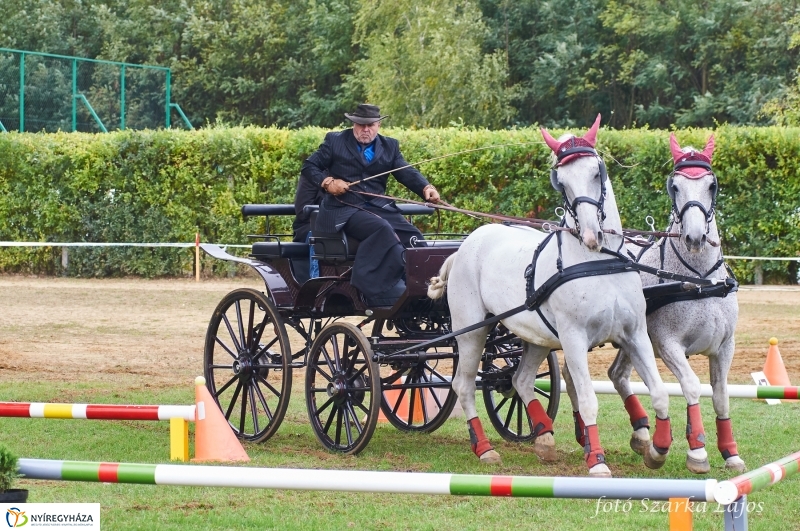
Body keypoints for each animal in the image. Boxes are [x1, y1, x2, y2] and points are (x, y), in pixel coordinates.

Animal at [428, 116, 672, 478]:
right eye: (563, 183)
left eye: (597, 172)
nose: (591, 235)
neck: (599, 265)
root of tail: (464, 246)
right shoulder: (574, 339)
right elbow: (587, 399)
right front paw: (597, 460)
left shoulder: (635, 335)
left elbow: (659, 392)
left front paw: (657, 449)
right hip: (472, 331)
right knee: (463, 385)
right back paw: (485, 449)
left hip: (536, 338)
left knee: (520, 379)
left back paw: (544, 439)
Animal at [608, 134, 748, 474]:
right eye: (675, 186)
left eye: (712, 185)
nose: (695, 237)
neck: (698, 281)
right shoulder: (668, 344)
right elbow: (692, 385)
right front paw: (696, 450)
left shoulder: (726, 346)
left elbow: (721, 395)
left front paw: (730, 453)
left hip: (631, 340)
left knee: (616, 375)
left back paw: (641, 434)